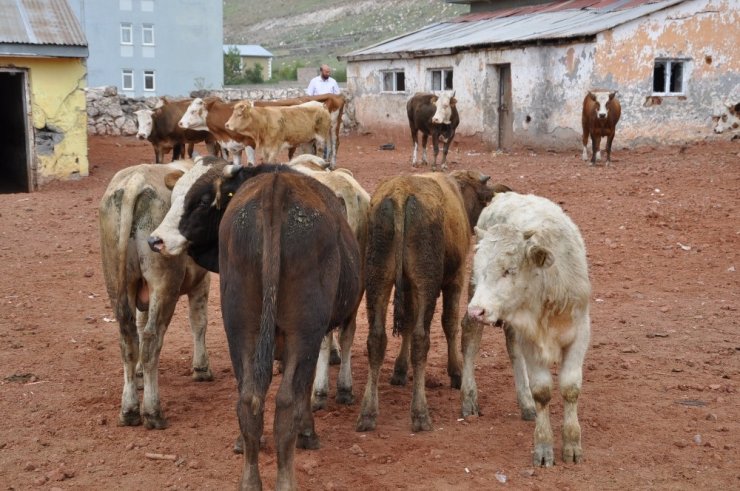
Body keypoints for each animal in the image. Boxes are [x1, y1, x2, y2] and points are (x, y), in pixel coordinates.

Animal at [147, 158, 362, 491]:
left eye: (203, 201)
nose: (155, 240)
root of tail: (275, 191)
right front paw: (308, 432)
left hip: (240, 328)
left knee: (248, 398)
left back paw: (249, 479)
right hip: (303, 332)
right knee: (286, 401)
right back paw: (286, 480)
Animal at [356, 171, 494, 432]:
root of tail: (400, 195)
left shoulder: (409, 286)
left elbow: (408, 323)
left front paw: (400, 370)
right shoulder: (455, 278)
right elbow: (449, 323)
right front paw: (456, 372)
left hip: (377, 277)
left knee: (376, 338)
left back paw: (368, 413)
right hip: (426, 282)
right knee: (422, 339)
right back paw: (420, 413)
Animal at [460, 192, 592, 468]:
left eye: (509, 270)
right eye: (480, 269)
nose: (477, 310)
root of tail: (504, 195)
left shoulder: (580, 333)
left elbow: (570, 388)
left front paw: (572, 444)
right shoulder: (530, 340)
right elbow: (542, 390)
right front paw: (543, 447)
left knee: (512, 348)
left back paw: (526, 403)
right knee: (470, 340)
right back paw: (469, 398)